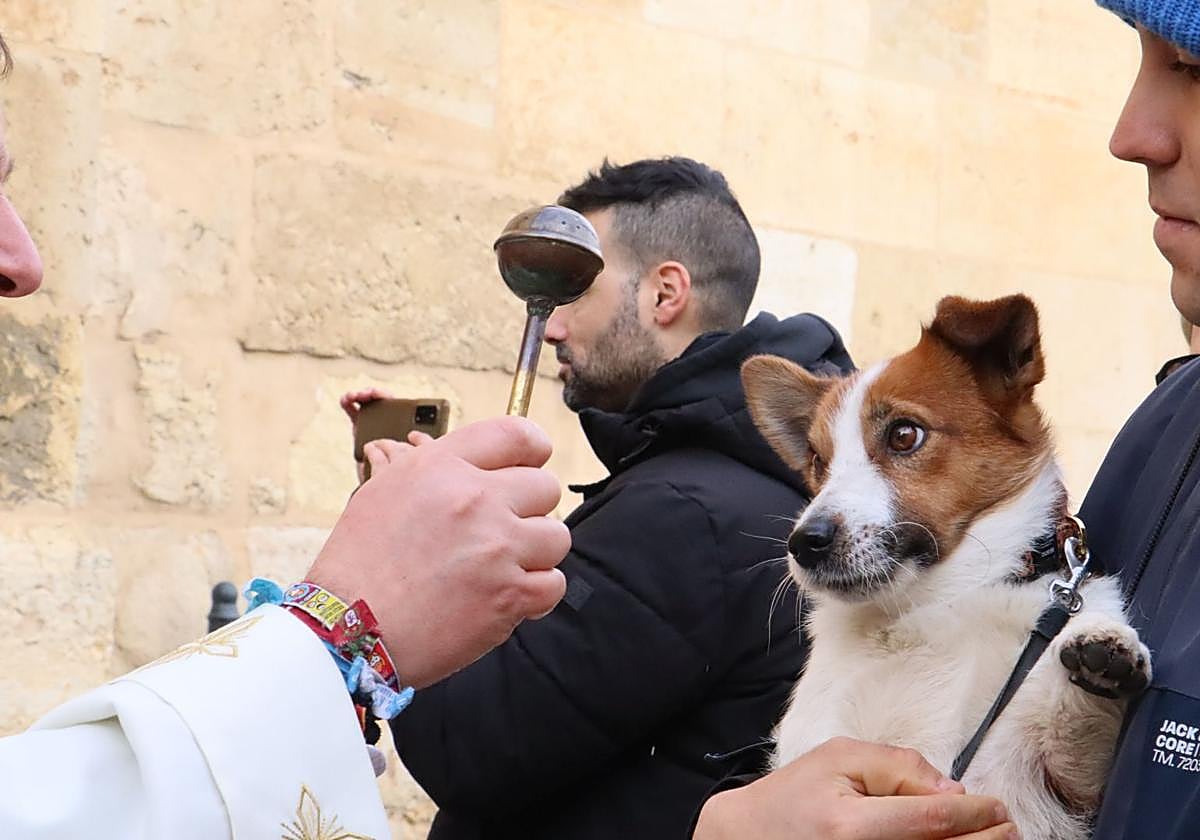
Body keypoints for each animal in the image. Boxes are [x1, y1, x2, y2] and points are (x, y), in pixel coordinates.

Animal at [741, 294, 1150, 840]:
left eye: (904, 435)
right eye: (817, 461)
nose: (805, 543)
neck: (930, 608)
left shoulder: (1061, 789)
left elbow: (1075, 729)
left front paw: (1105, 654)